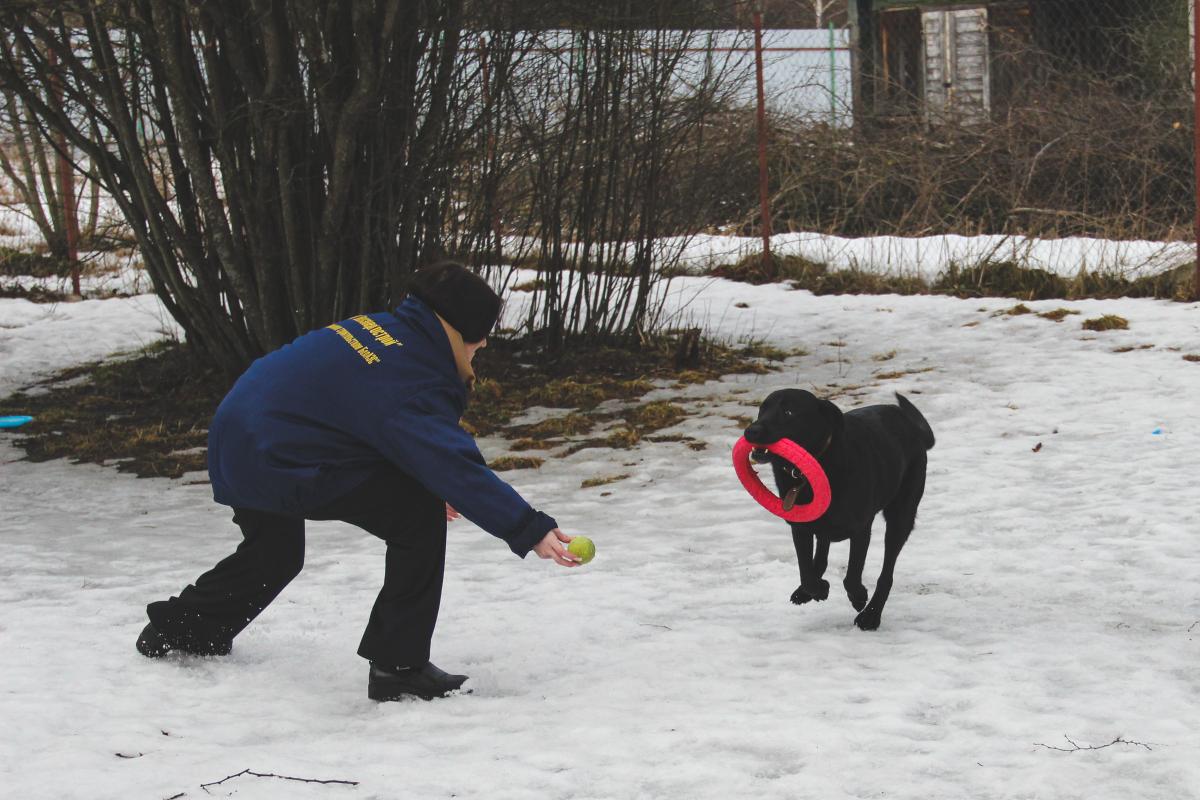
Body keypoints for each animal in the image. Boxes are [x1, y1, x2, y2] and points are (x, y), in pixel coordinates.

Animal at [739, 391, 936, 628]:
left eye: (789, 412)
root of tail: (911, 425)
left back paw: (871, 616)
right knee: (821, 550)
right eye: (763, 409)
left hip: (901, 517)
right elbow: (806, 572)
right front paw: (818, 589)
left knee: (886, 573)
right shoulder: (800, 527)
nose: (751, 431)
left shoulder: (861, 529)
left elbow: (852, 575)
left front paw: (858, 597)